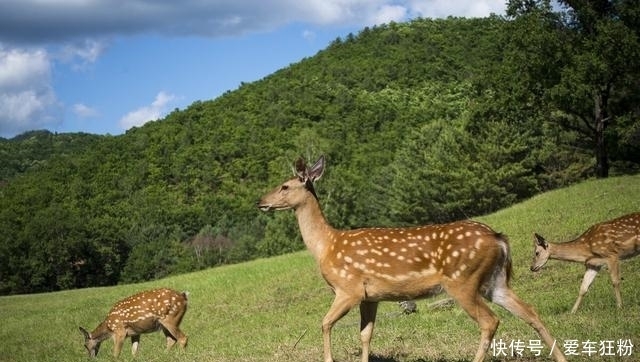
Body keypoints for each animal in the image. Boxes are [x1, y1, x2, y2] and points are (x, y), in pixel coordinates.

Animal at [255, 156, 564, 362]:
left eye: (284, 186)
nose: (260, 202)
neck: (326, 246)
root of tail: (498, 238)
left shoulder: (348, 288)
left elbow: (325, 323)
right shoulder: (370, 296)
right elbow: (366, 334)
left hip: (462, 280)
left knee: (490, 321)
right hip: (495, 281)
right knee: (530, 311)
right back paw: (561, 357)